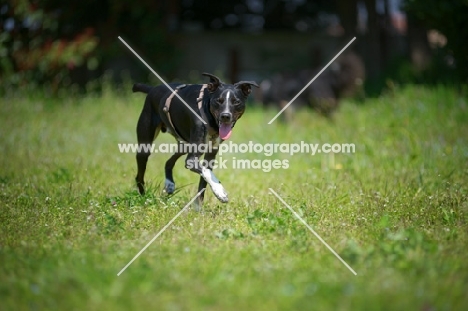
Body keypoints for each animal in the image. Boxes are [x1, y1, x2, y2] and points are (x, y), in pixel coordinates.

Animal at [132, 73, 258, 208]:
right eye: (218, 101)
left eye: (236, 102)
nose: (225, 116)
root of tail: (152, 89)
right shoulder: (191, 160)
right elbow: (206, 172)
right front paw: (220, 191)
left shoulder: (210, 154)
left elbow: (204, 179)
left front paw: (198, 209)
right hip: (146, 145)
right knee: (139, 174)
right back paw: (144, 198)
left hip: (184, 145)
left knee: (169, 161)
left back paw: (169, 184)